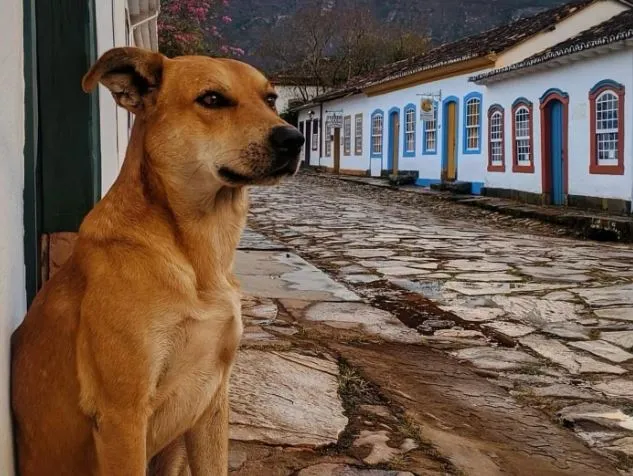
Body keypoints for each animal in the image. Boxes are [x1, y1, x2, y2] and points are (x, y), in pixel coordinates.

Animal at [11, 45, 304, 476]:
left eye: (270, 99)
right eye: (212, 99)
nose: (295, 139)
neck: (197, 256)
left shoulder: (212, 399)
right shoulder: (123, 415)